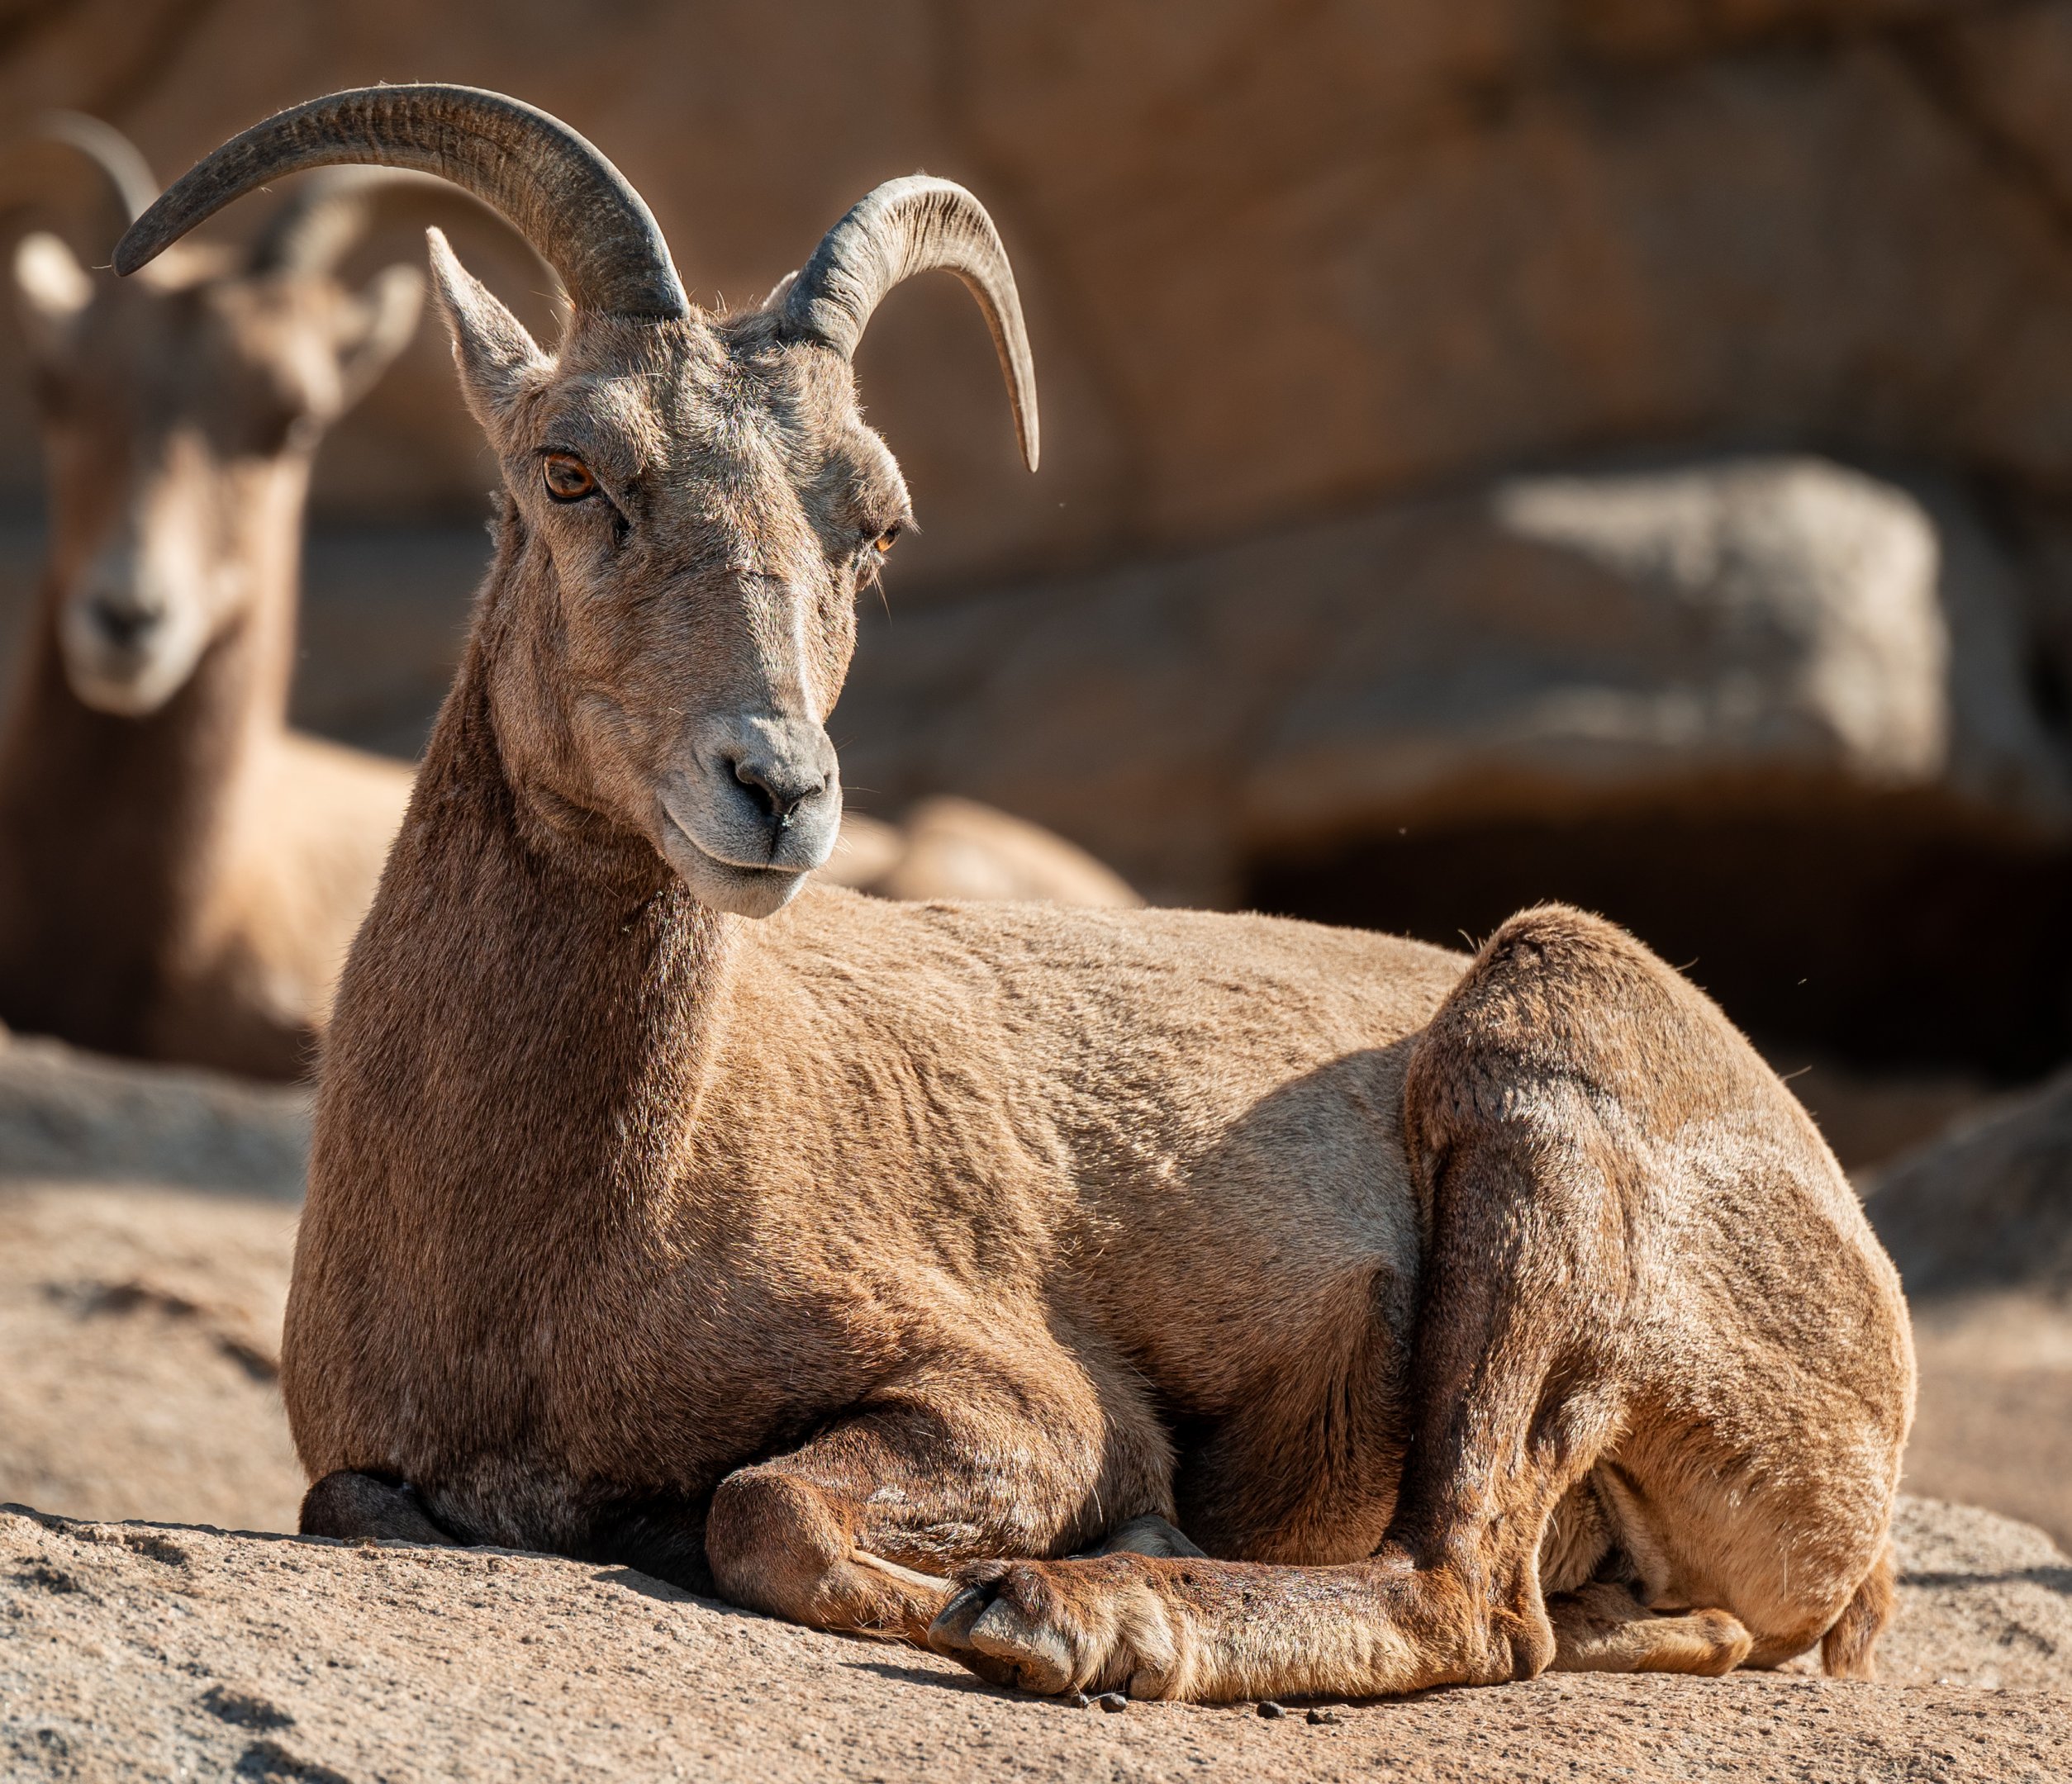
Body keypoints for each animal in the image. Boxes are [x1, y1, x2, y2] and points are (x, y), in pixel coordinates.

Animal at [121, 85, 1913, 1703]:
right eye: (570, 469)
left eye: (877, 522)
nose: (776, 791)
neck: (567, 1231)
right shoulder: (371, 1469)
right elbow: (361, 1505)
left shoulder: (1026, 1402)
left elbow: (764, 1512)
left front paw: (1032, 1581)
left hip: (1537, 1111)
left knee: (1466, 1602)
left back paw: (1085, 1621)